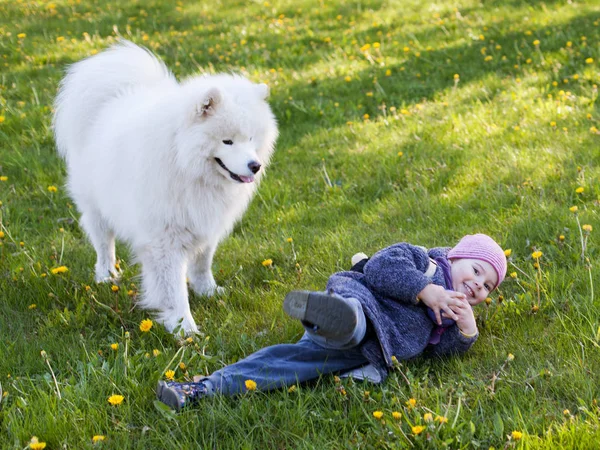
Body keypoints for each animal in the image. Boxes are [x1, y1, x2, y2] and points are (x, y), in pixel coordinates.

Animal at [52, 40, 278, 332]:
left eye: (250, 138)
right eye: (227, 141)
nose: (255, 165)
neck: (184, 163)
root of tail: (112, 99)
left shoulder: (205, 222)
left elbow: (202, 264)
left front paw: (208, 291)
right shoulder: (164, 239)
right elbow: (173, 289)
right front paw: (184, 328)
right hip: (97, 208)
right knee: (104, 244)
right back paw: (106, 275)